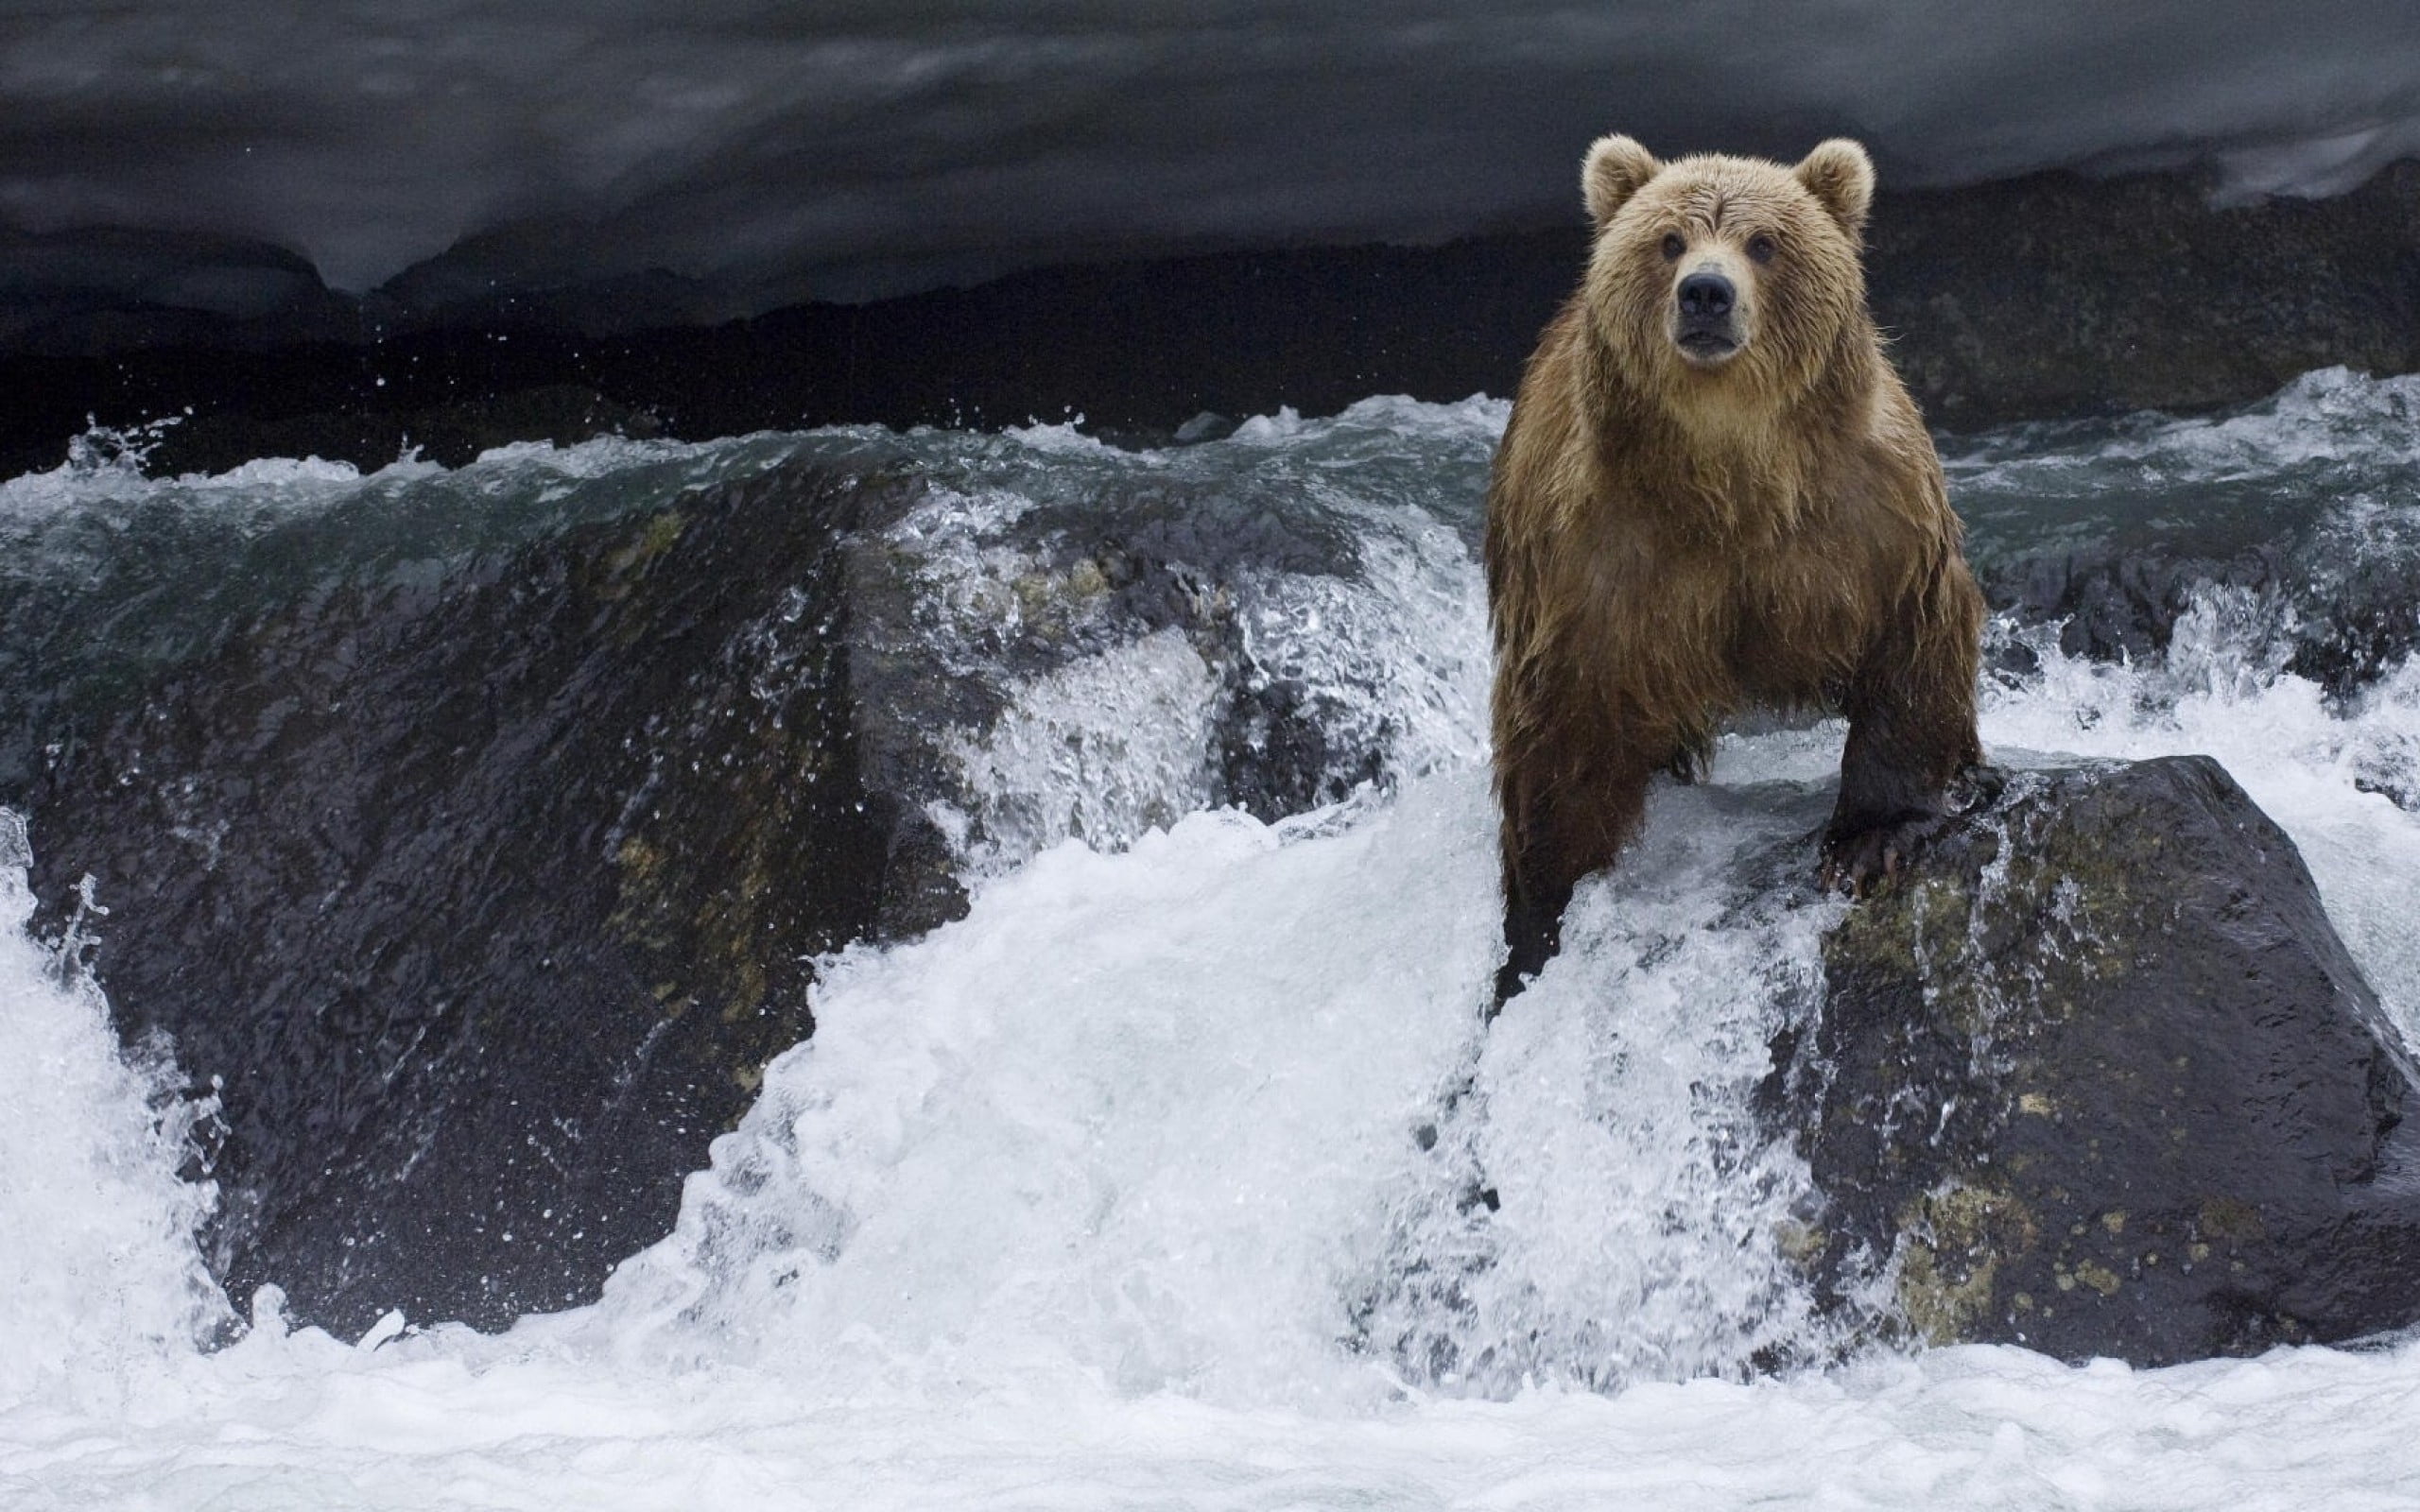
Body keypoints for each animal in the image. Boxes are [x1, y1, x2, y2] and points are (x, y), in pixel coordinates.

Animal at [1486, 134, 1986, 1006]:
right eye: (1669, 240)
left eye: (1763, 242)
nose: (1707, 294)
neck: (1729, 473)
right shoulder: (1593, 553)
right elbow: (1561, 728)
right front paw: (1539, 918)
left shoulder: (1867, 514)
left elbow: (1911, 642)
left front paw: (1871, 839)